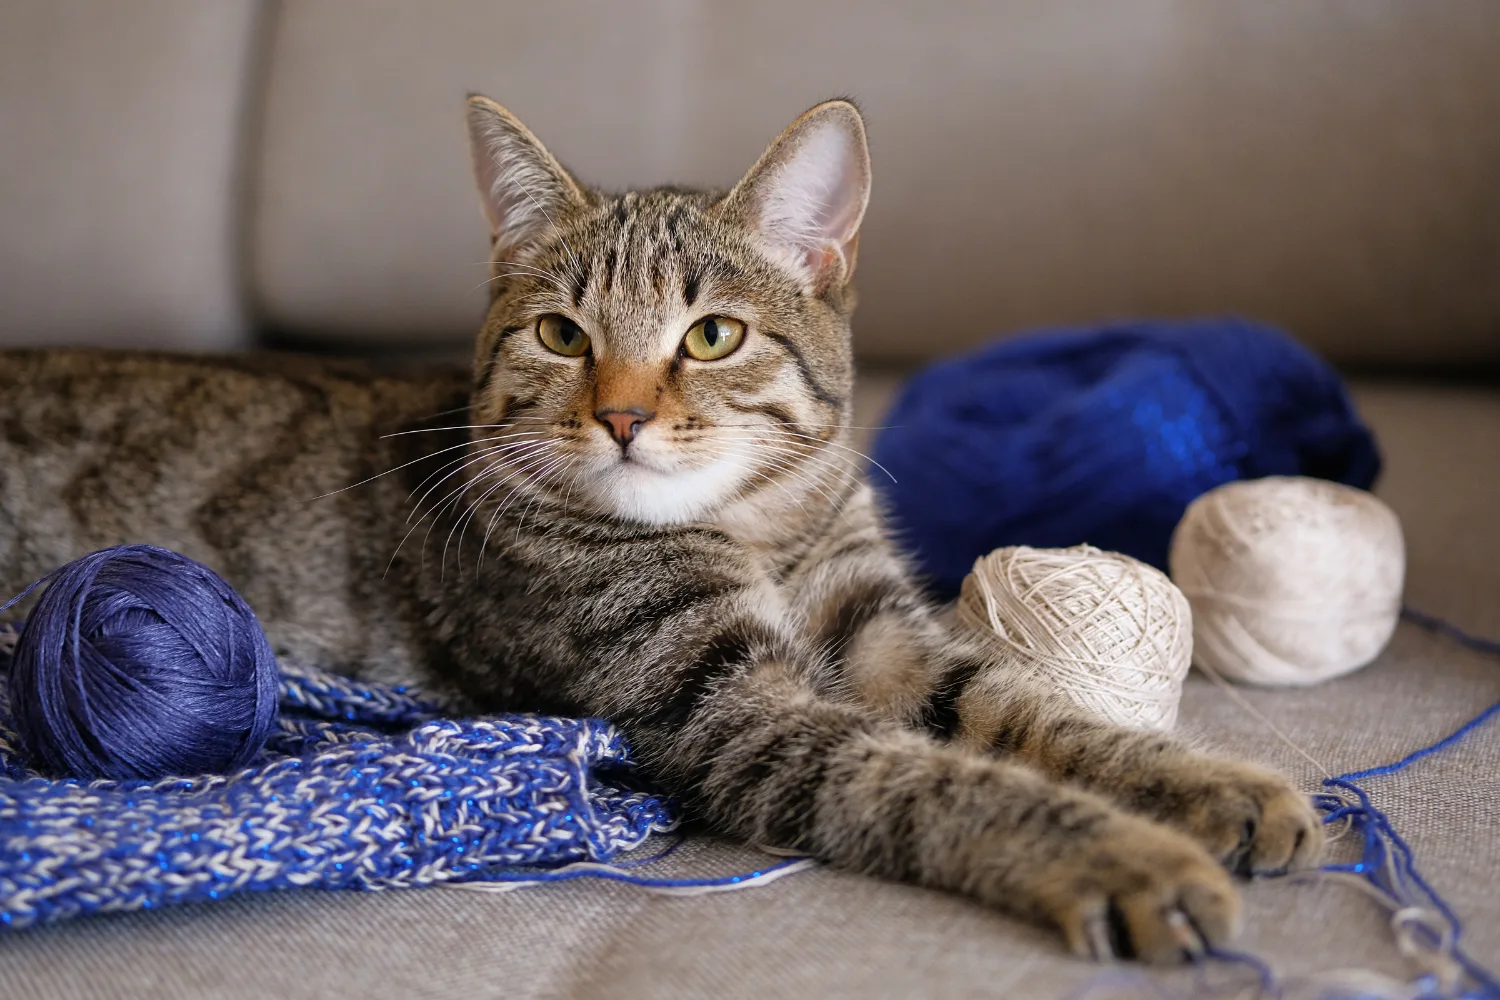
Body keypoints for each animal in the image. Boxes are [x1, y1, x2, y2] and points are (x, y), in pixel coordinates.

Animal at [0, 99, 1320, 959]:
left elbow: (1037, 712)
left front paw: (1210, 787)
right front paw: (1129, 856)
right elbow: (931, 781)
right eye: (562, 334)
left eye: (712, 335)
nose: (624, 414)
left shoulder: (886, 637)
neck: (760, 529)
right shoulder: (728, 709)